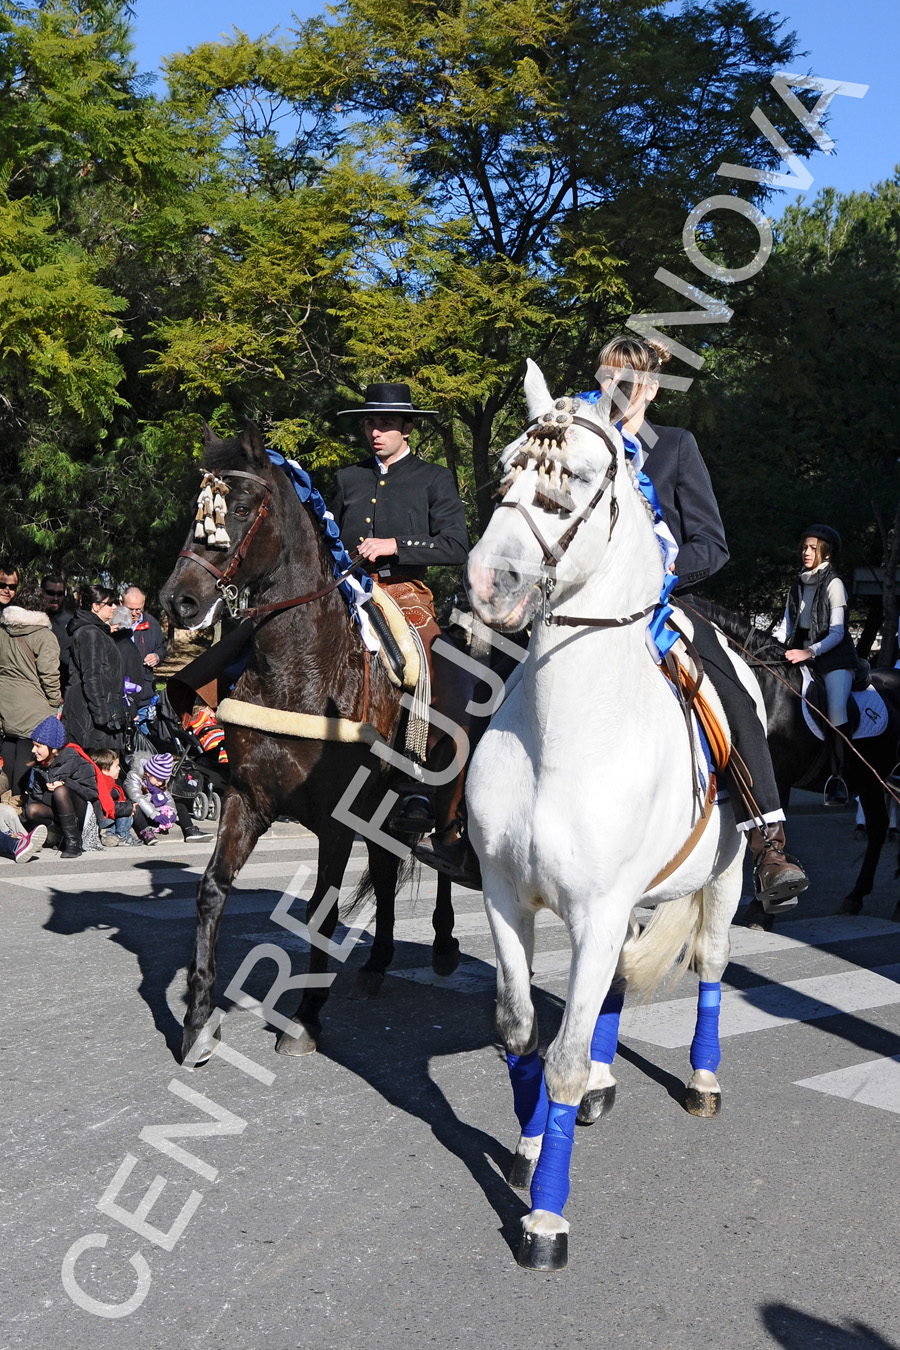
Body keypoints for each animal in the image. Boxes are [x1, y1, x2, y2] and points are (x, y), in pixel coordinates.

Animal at [157, 421, 461, 1063]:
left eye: (239, 508)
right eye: (198, 509)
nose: (178, 601)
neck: (300, 668)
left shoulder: (335, 820)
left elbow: (323, 909)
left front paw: (305, 1017)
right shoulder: (247, 800)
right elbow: (212, 890)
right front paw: (197, 1020)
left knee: (444, 854)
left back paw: (444, 945)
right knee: (388, 867)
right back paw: (376, 963)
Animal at [464, 359, 744, 1263]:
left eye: (578, 480)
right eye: (507, 469)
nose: (488, 581)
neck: (565, 734)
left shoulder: (597, 907)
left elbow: (559, 1054)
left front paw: (545, 1219)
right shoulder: (506, 898)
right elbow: (522, 1029)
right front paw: (526, 1146)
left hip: (726, 881)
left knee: (713, 962)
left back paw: (701, 1080)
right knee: (617, 979)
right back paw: (603, 1082)